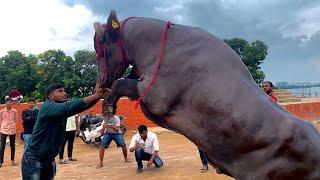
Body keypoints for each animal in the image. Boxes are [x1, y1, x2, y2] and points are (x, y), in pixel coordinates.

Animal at [92, 10, 320, 179]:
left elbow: (121, 83)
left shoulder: (156, 96)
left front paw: (107, 107)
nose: (99, 83)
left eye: (100, 44)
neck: (157, 47)